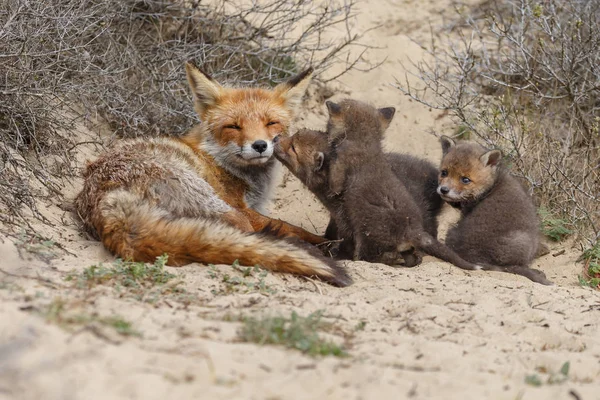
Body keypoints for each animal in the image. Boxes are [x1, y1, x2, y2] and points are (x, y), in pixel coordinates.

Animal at [74, 62, 352, 286]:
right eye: (234, 126)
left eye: (271, 123)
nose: (260, 145)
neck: (222, 162)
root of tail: (108, 199)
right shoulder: (244, 209)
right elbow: (288, 226)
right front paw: (324, 243)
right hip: (219, 205)